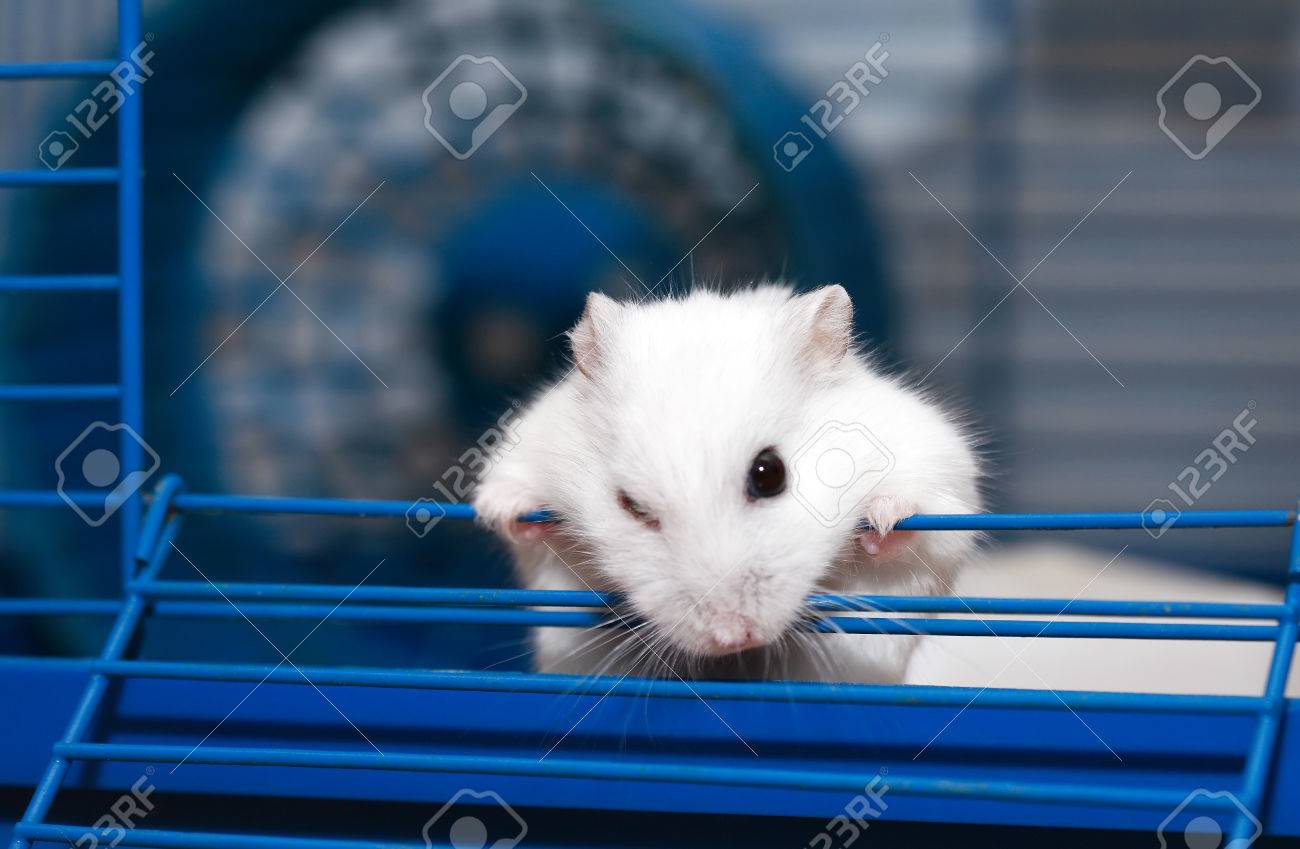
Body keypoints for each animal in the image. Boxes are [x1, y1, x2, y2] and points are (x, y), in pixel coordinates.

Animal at [472, 284, 981, 683]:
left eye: (770, 474)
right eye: (631, 505)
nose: (731, 637)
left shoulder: (936, 471)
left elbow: (919, 524)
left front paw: (884, 521)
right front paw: (506, 512)